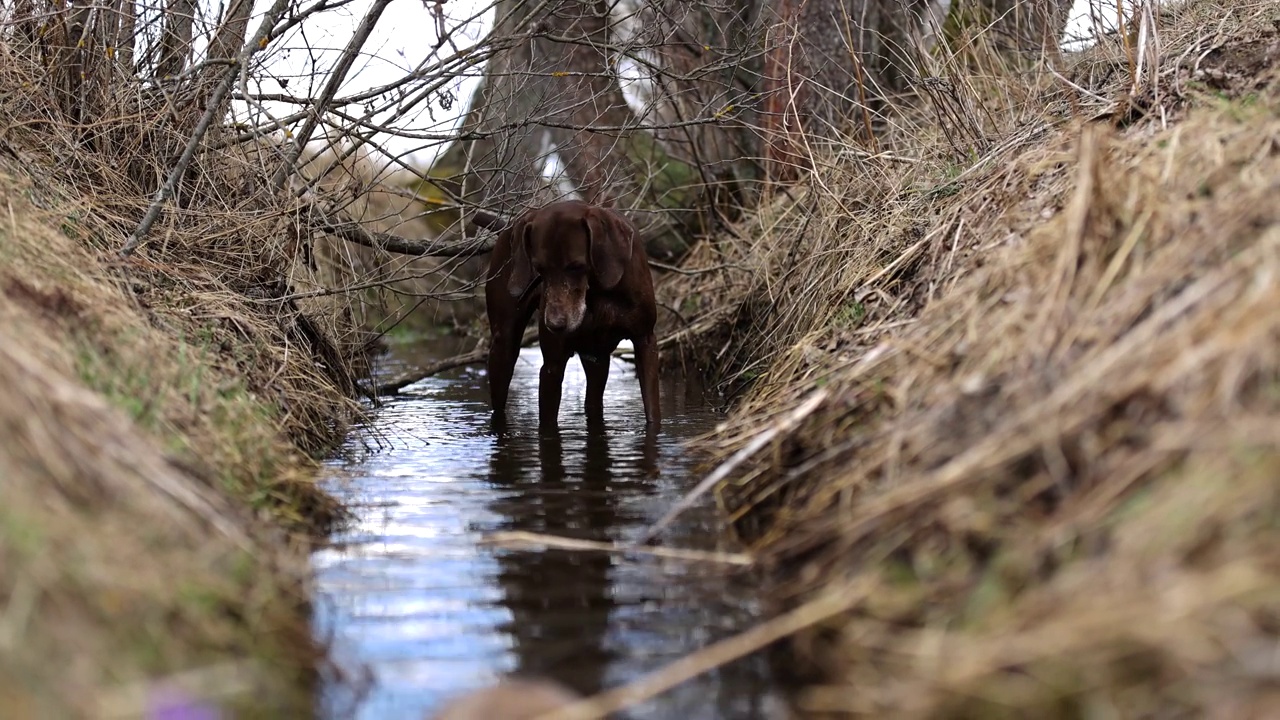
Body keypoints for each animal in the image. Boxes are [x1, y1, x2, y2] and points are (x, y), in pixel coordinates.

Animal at [481, 198, 660, 425]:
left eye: (576, 266)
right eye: (540, 268)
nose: (554, 324)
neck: (597, 292)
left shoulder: (645, 341)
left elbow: (653, 412)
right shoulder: (552, 365)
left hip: (597, 359)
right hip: (503, 346)